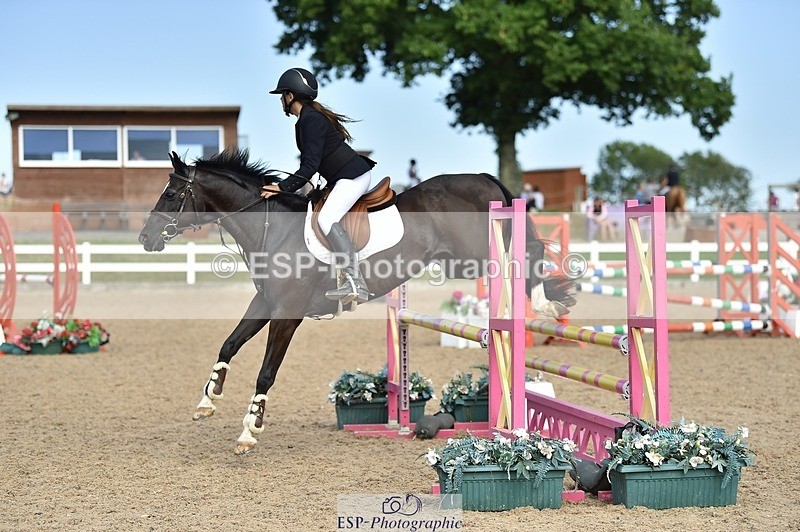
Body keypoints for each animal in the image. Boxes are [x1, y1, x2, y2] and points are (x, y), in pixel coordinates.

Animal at [138, 149, 577, 454]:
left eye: (173, 193)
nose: (145, 238)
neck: (272, 229)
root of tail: (483, 177)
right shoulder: (265, 305)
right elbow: (228, 344)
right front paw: (207, 401)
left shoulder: (287, 314)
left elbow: (266, 373)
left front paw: (249, 431)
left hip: (476, 253)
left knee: (525, 258)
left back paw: (548, 303)